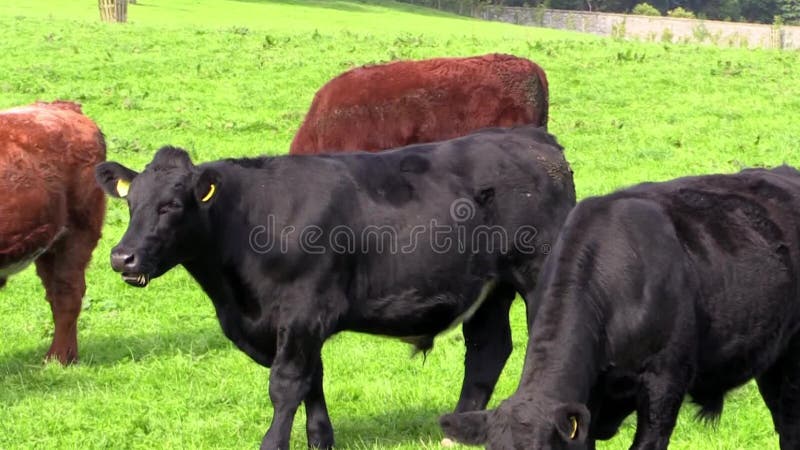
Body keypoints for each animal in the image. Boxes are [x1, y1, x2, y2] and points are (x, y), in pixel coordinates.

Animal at [94, 125, 576, 450]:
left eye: (171, 205)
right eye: (131, 203)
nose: (122, 257)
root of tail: (535, 139)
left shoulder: (304, 310)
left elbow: (287, 383)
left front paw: (274, 443)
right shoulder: (296, 325)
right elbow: (313, 379)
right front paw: (321, 439)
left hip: (536, 275)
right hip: (491, 288)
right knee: (487, 351)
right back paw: (458, 431)